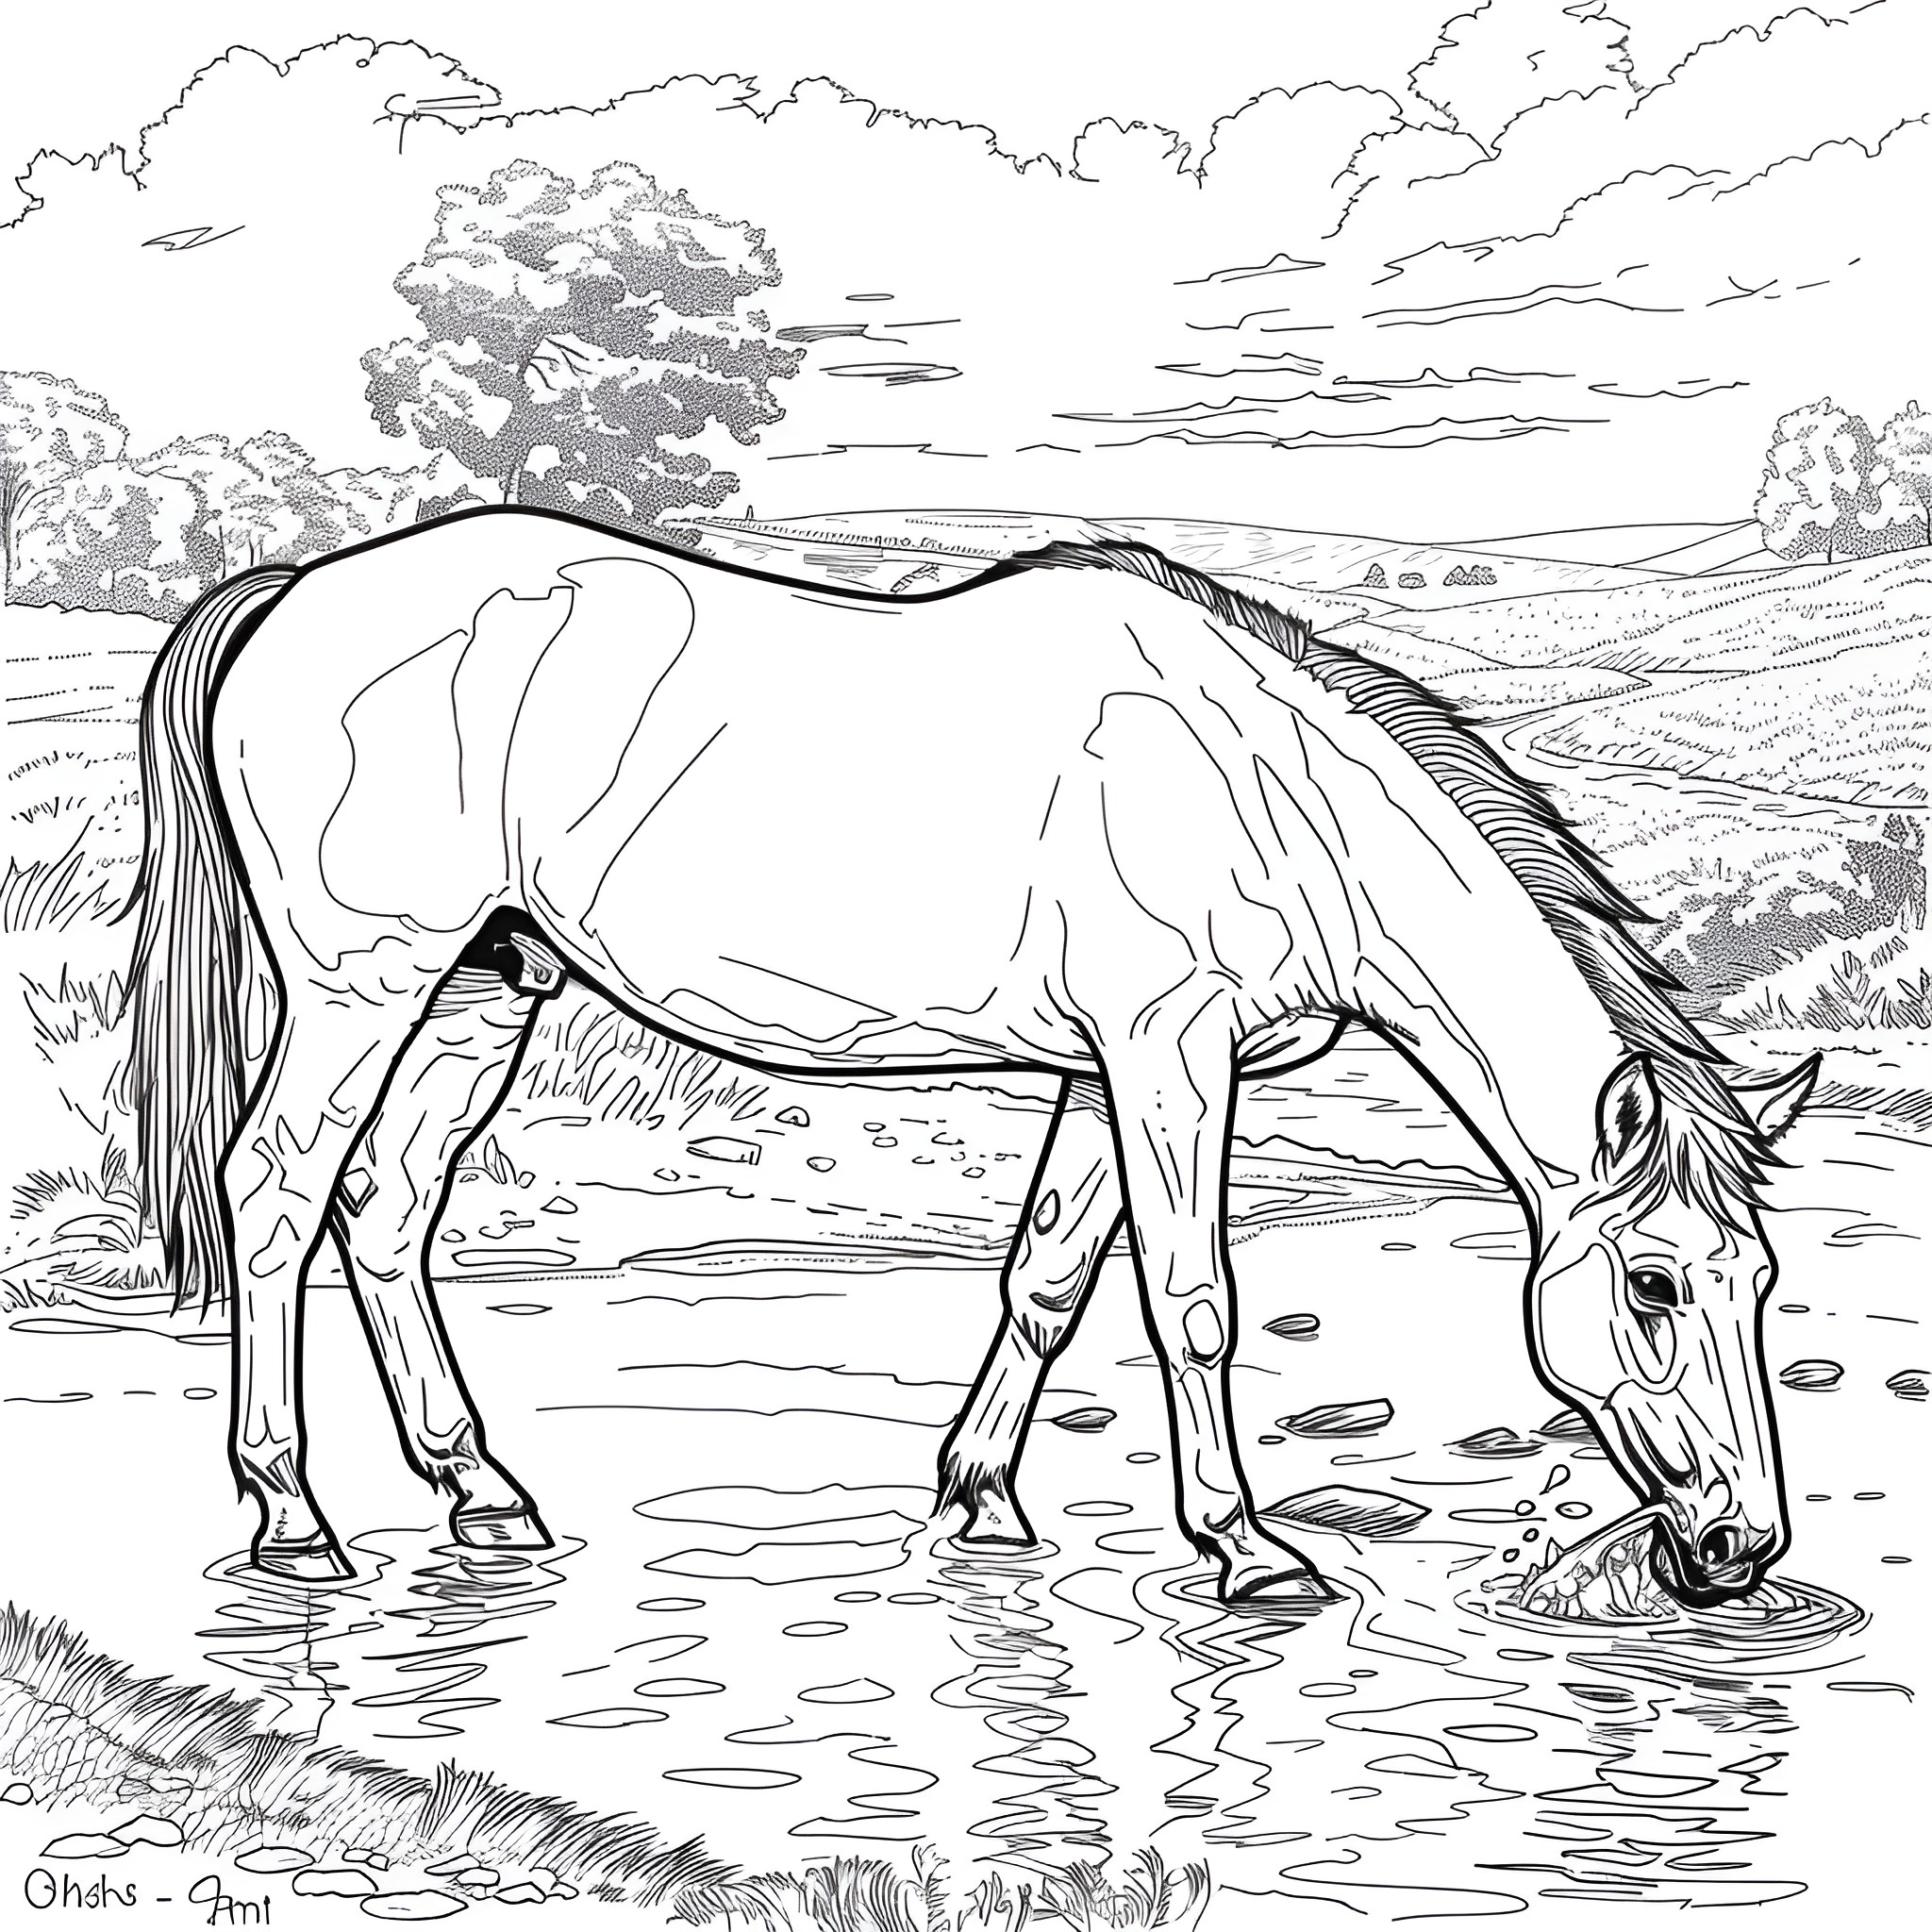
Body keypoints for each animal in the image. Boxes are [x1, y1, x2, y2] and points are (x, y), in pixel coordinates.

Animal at [125, 508, 1818, 1606]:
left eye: (1757, 1282)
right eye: (1653, 1285)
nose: (1738, 1554)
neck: (1265, 787)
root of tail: (290, 593)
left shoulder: (1100, 1070)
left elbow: (1049, 1279)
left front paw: (981, 1497)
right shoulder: (1166, 1055)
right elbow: (1192, 1303)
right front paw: (1246, 1548)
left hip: (490, 977)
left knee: (388, 1206)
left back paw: (482, 1495)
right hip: (364, 980)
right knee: (275, 1192)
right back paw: (291, 1517)